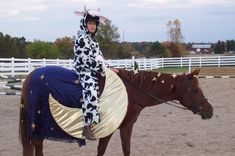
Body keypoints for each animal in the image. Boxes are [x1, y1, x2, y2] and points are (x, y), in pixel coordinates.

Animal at [18, 68, 213, 156]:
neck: (130, 92)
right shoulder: (112, 129)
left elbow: (126, 149)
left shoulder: (126, 127)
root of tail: (30, 77)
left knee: (37, 144)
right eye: (196, 90)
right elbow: (103, 150)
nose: (210, 111)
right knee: (37, 143)